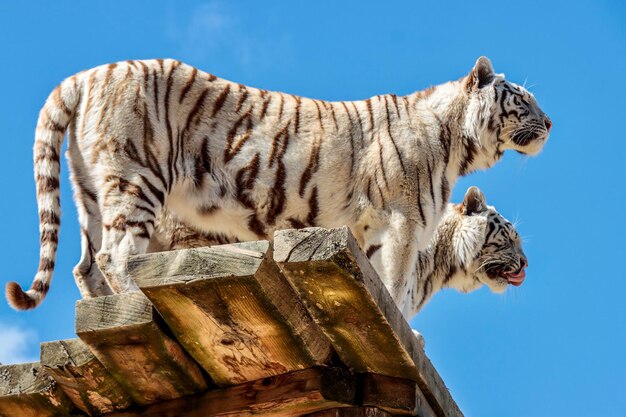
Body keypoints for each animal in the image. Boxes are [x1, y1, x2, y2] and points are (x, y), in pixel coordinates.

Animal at [7, 56, 548, 308]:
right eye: (522, 98)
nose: (551, 124)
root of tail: (82, 76)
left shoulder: (372, 229)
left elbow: (376, 277)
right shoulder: (403, 219)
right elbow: (392, 284)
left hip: (92, 191)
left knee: (83, 265)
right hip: (136, 180)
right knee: (115, 256)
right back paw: (137, 303)